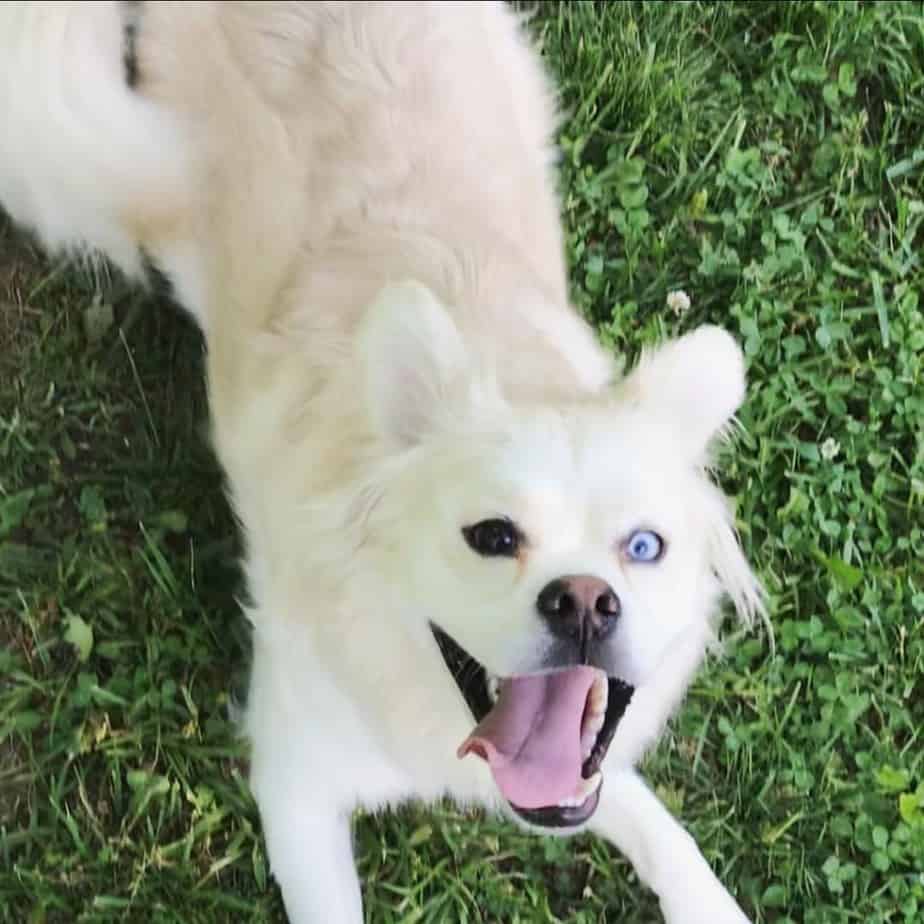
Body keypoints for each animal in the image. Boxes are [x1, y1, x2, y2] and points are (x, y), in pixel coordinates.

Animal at [0, 3, 760, 920]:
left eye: (644, 547)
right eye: (492, 536)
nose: (584, 601)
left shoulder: (588, 774)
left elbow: (662, 829)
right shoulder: (297, 783)